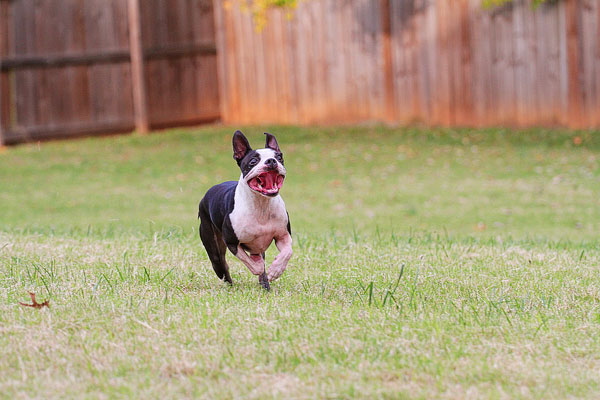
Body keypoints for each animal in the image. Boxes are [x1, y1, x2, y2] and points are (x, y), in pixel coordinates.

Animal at [199, 131, 292, 290]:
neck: (261, 205)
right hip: (213, 246)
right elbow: (251, 263)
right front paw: (259, 266)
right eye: (253, 161)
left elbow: (287, 252)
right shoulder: (232, 242)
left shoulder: (283, 235)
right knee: (221, 265)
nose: (271, 161)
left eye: (279, 157)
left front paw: (275, 270)